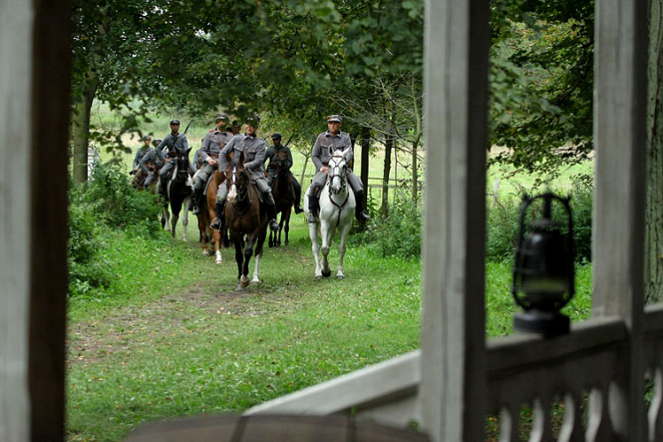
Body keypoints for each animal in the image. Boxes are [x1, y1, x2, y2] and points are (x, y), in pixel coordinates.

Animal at [226, 150, 270, 292]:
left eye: (241, 173)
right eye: (226, 173)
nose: (232, 196)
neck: (240, 206)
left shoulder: (254, 230)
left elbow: (248, 251)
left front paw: (245, 279)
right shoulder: (234, 231)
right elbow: (239, 255)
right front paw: (239, 279)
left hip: (262, 231)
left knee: (257, 252)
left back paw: (255, 277)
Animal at [306, 148, 358, 280]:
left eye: (344, 166)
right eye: (329, 165)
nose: (335, 188)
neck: (338, 198)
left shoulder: (346, 225)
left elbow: (341, 248)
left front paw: (339, 272)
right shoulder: (325, 223)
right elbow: (324, 248)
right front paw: (324, 270)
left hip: (333, 228)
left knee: (328, 242)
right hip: (314, 224)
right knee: (316, 247)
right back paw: (318, 271)